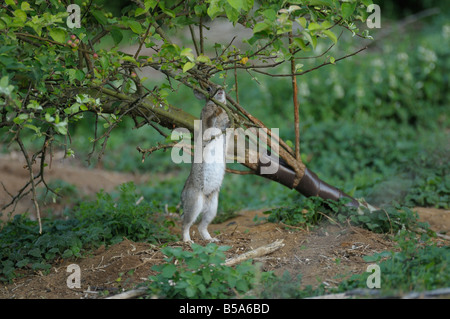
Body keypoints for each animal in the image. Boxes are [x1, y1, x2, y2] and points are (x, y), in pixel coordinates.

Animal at [180, 86, 230, 244]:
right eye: (208, 88)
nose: (220, 89)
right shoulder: (207, 121)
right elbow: (210, 122)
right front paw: (216, 111)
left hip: (213, 207)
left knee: (202, 226)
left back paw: (212, 240)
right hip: (195, 202)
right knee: (186, 224)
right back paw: (188, 241)